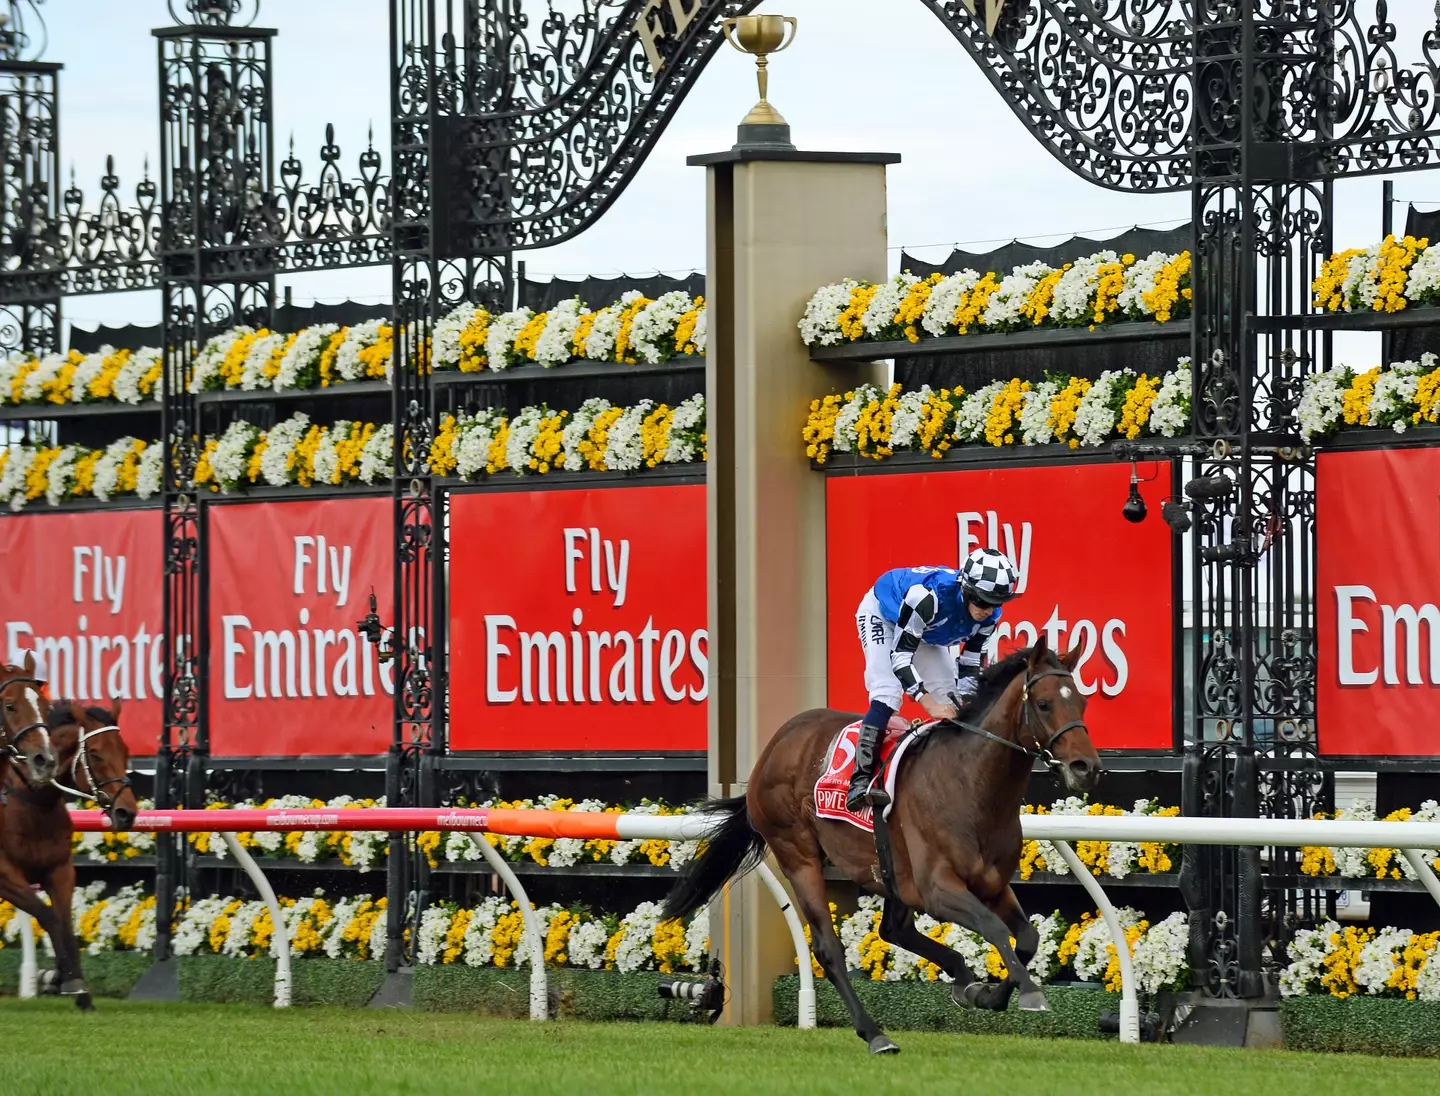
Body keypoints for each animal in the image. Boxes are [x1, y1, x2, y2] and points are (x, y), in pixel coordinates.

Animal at [1, 691, 135, 1008]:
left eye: (125, 751)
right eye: (95, 753)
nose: (127, 813)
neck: (32, 805)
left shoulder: (60, 870)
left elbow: (66, 924)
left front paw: (78, 988)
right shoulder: (5, 874)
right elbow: (47, 915)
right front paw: (65, 979)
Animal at [662, 642, 1100, 1054]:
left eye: (1081, 702)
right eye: (1044, 704)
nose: (1086, 767)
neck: (970, 785)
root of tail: (775, 745)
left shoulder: (991, 884)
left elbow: (1026, 938)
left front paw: (990, 993)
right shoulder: (938, 888)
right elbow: (993, 927)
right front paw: (1029, 992)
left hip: (889, 870)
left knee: (894, 929)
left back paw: (959, 977)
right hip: (797, 853)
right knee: (829, 949)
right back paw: (875, 1033)